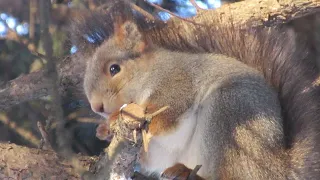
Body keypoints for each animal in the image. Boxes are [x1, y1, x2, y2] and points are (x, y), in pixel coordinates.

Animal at [71, 4, 320, 180]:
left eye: (114, 68)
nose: (97, 107)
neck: (148, 73)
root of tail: (279, 167)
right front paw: (107, 128)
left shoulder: (177, 82)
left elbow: (170, 112)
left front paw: (148, 124)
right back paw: (181, 171)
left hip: (230, 112)